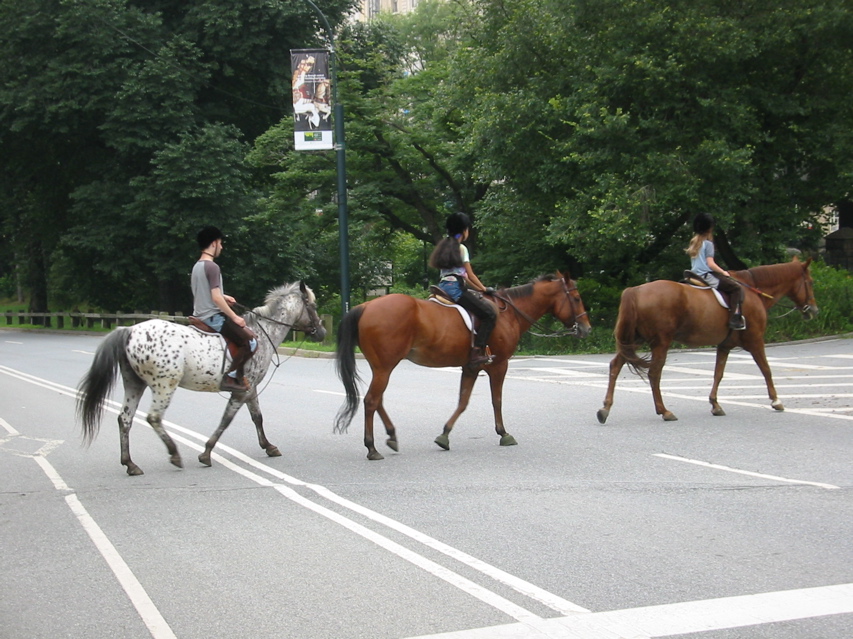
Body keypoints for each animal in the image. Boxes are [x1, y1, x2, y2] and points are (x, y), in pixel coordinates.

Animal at [76, 284, 324, 476]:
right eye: (312, 306)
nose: (321, 333)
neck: (263, 334)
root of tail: (129, 331)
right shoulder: (242, 391)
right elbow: (226, 421)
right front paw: (206, 453)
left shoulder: (250, 388)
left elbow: (257, 417)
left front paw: (269, 447)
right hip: (164, 385)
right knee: (153, 418)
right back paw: (174, 455)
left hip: (134, 384)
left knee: (125, 419)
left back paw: (130, 464)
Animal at [336, 274, 588, 460]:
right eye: (576, 298)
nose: (586, 328)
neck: (509, 314)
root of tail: (366, 305)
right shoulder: (500, 365)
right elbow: (496, 400)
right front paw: (503, 433)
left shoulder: (471, 367)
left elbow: (463, 401)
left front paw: (444, 435)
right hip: (385, 367)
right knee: (371, 400)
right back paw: (372, 448)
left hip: (381, 367)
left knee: (376, 400)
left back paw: (391, 436)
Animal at [596, 258, 816, 422]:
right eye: (811, 282)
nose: (814, 310)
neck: (754, 290)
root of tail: (636, 290)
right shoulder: (755, 341)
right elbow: (766, 370)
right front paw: (776, 401)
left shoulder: (725, 345)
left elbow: (718, 373)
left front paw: (715, 404)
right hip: (660, 343)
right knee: (654, 374)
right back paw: (664, 411)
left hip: (633, 341)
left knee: (615, 366)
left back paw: (605, 409)